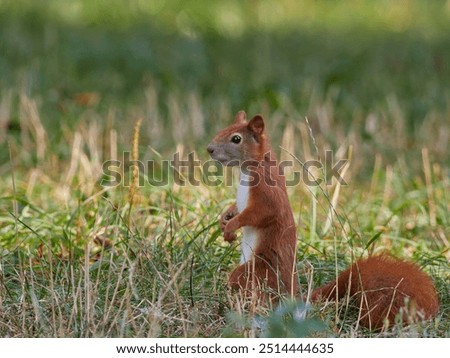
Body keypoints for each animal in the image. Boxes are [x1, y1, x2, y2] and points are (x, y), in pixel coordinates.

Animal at [207, 110, 298, 298]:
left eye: (236, 139)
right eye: (224, 129)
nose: (209, 149)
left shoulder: (267, 193)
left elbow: (259, 213)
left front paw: (230, 228)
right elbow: (237, 208)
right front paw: (225, 218)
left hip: (259, 270)